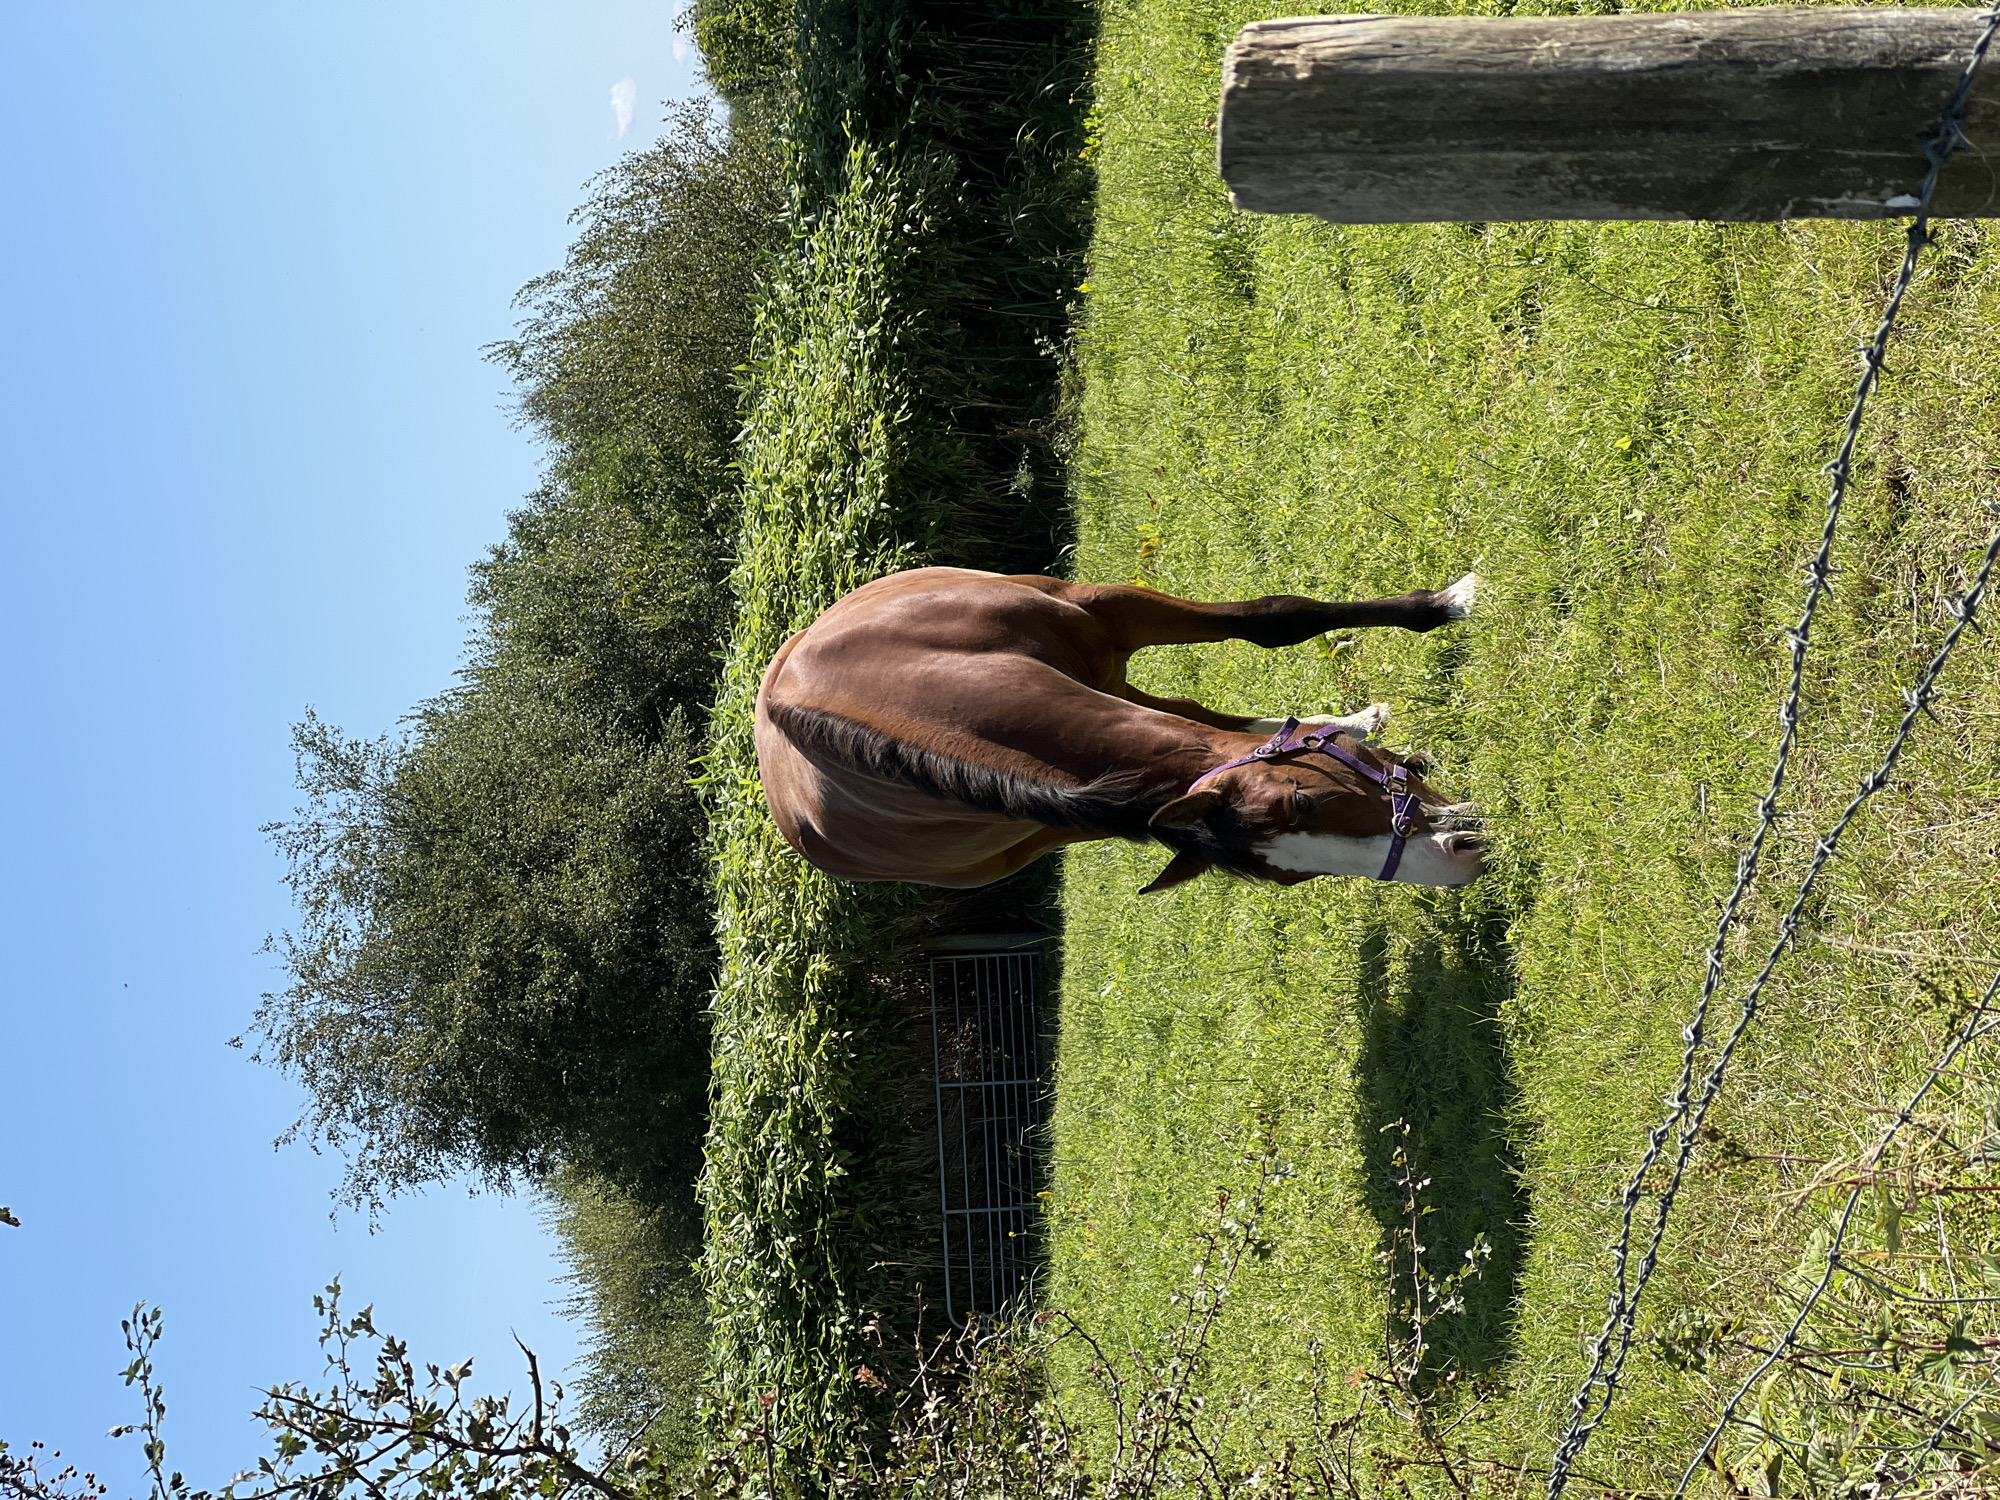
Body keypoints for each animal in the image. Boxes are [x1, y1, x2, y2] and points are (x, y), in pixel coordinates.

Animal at [754, 567, 1485, 892]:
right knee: (1194, 718)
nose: (1455, 859)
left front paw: (1449, 602)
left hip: (1102, 674)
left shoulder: (1107, 609)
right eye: (1288, 880)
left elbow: (1274, 618)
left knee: (1196, 712)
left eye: (1305, 799)